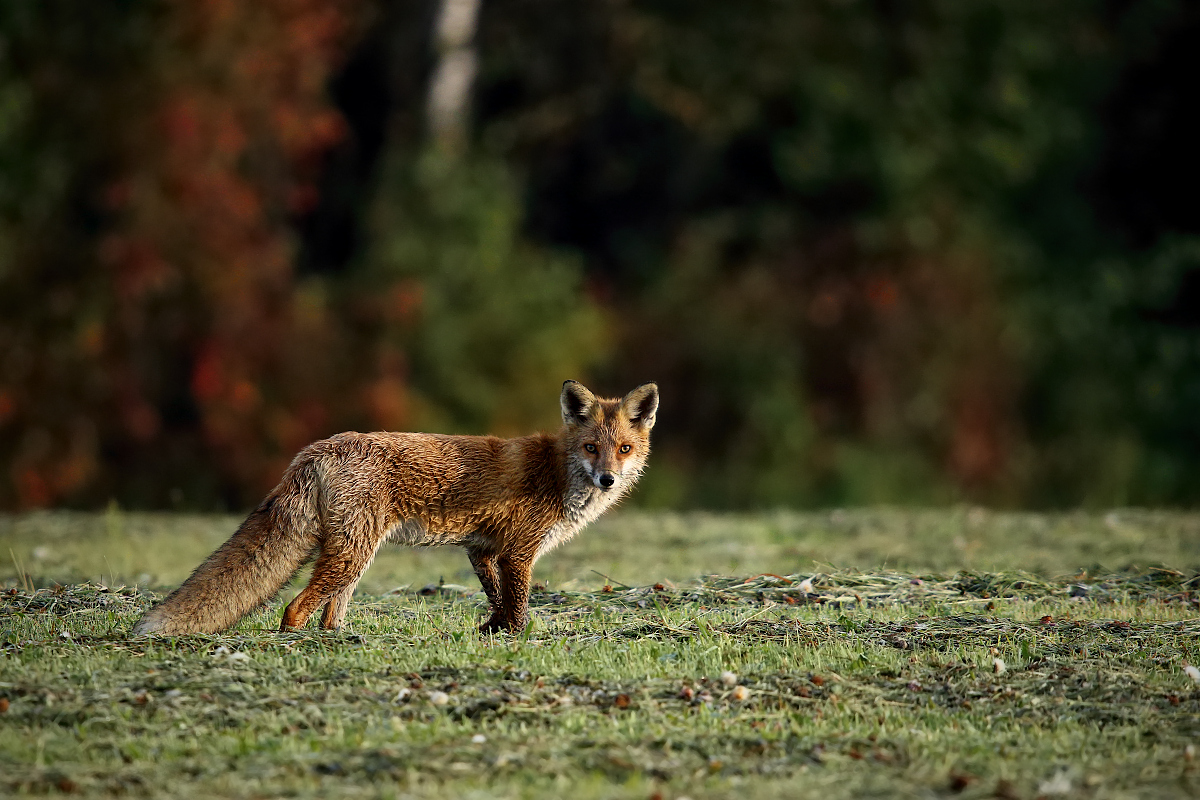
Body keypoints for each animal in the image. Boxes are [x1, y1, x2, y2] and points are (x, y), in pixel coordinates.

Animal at [135, 381, 662, 638]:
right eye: (592, 447)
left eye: (625, 449)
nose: (608, 479)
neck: (556, 472)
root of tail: (317, 449)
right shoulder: (518, 551)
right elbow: (516, 604)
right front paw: (516, 637)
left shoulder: (483, 550)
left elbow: (495, 599)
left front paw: (490, 631)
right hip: (351, 554)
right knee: (295, 607)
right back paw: (293, 643)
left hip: (355, 556)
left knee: (330, 613)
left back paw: (339, 641)